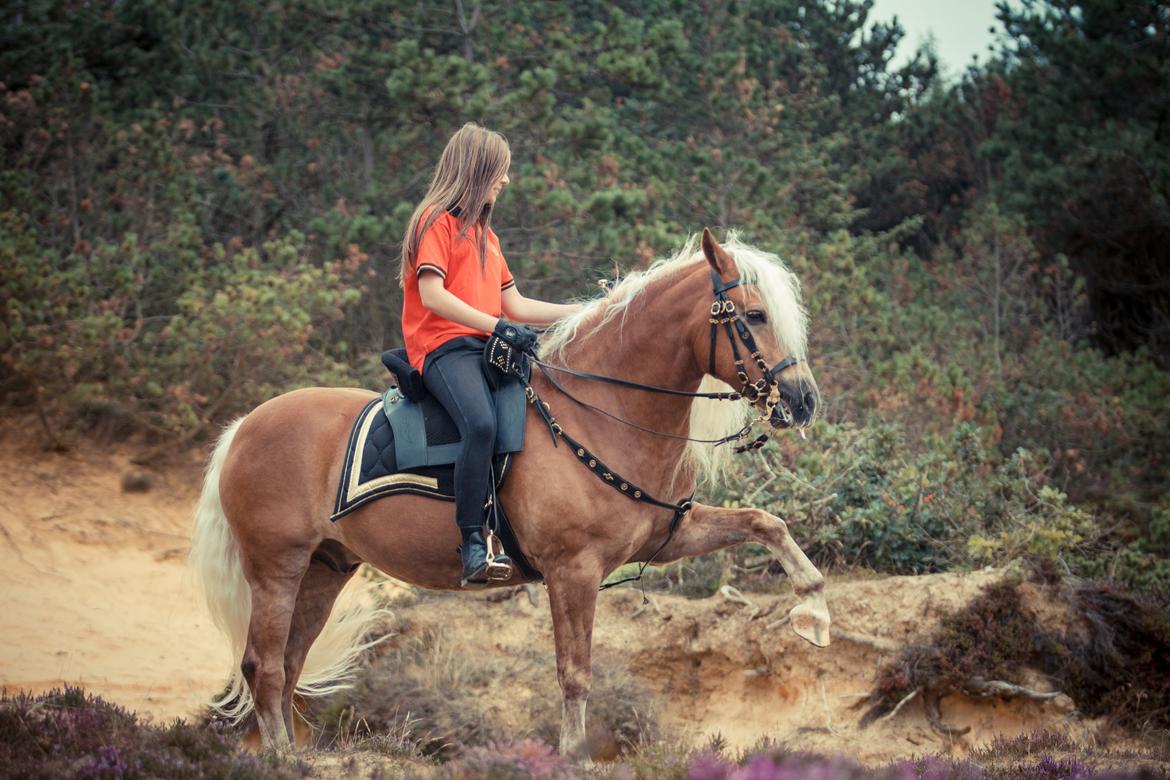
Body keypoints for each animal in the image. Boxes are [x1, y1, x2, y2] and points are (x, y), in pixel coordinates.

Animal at [191, 229, 828, 757]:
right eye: (754, 314)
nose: (802, 401)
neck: (603, 414)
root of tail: (244, 426)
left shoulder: (667, 537)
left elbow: (765, 522)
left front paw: (814, 611)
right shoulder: (573, 571)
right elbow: (575, 674)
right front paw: (572, 757)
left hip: (324, 570)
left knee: (288, 662)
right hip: (276, 569)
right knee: (265, 666)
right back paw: (279, 757)